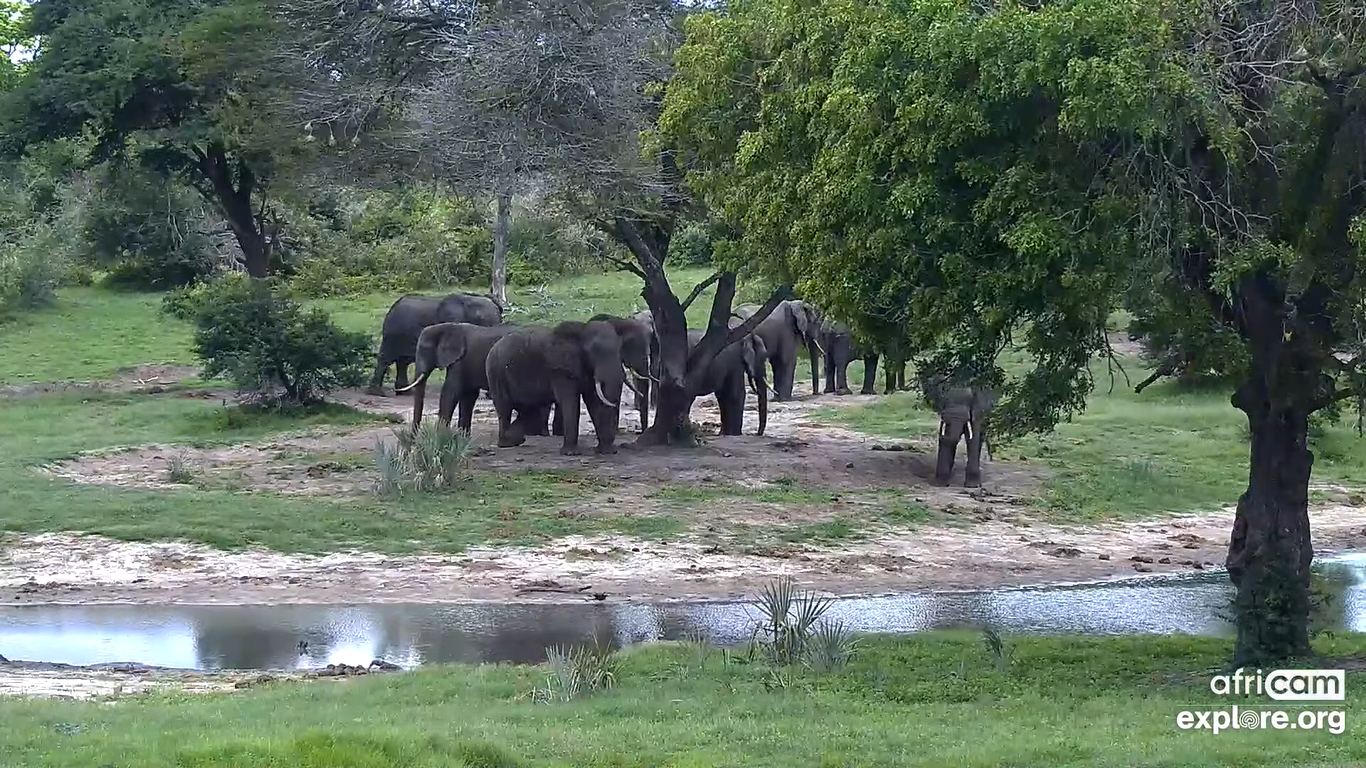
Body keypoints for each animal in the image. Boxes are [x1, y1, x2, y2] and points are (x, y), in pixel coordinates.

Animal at [366, 292, 504, 396]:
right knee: (386, 359)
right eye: (482, 321)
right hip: (394, 334)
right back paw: (378, 393)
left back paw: (404, 393)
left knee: (402, 362)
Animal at [485, 319, 628, 455]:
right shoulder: (559, 369)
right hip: (496, 373)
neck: (581, 330)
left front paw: (606, 451)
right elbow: (570, 401)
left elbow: (593, 401)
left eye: (619, 349)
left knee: (529, 411)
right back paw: (506, 443)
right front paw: (571, 453)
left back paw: (516, 439)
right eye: (595, 351)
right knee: (505, 409)